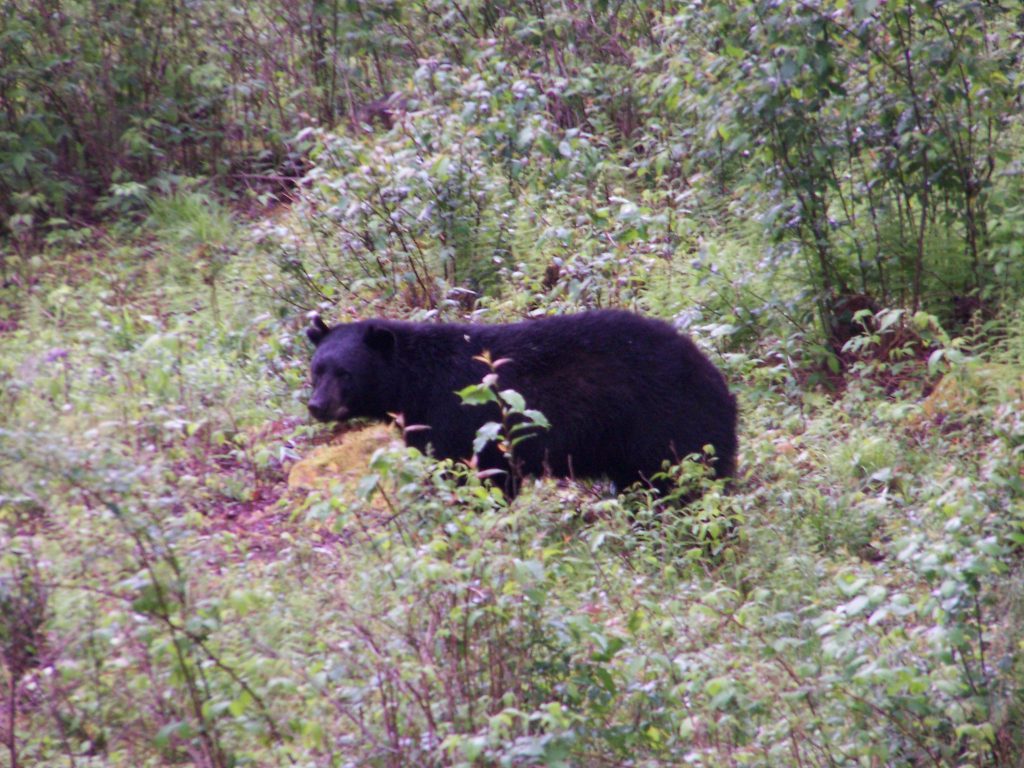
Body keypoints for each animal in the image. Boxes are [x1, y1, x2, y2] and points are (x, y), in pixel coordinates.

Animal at [303, 313, 737, 499]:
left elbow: (476, 476)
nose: (317, 405)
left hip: (663, 424)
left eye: (345, 373)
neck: (416, 385)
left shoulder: (461, 422)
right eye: (316, 369)